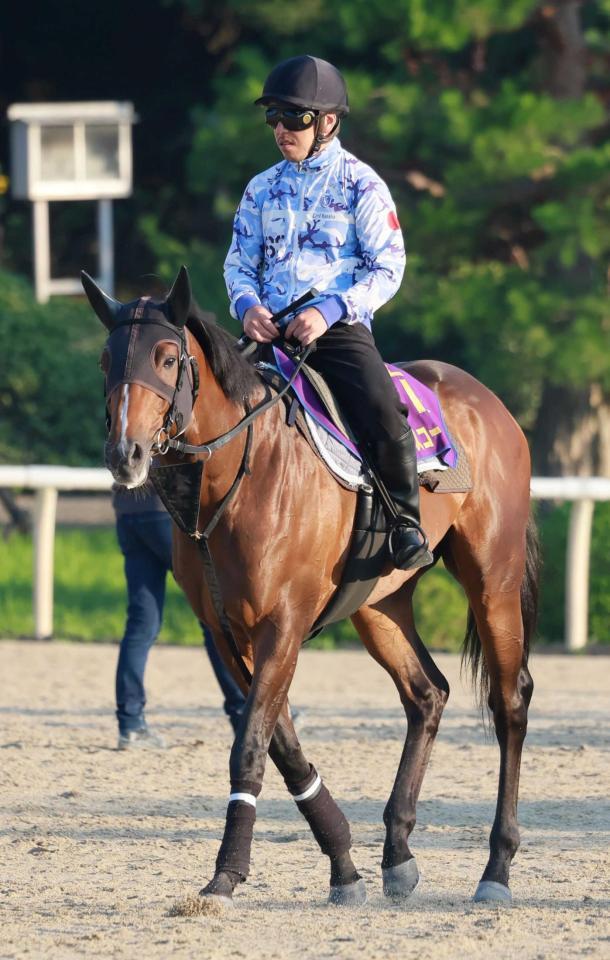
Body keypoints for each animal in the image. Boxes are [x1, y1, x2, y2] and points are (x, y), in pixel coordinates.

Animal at [83, 266, 538, 908]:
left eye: (167, 358)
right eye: (106, 359)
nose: (126, 454)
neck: (241, 478)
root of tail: (487, 402)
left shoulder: (283, 627)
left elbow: (251, 747)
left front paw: (227, 873)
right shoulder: (230, 635)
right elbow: (282, 747)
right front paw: (344, 864)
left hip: (492, 577)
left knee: (509, 702)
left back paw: (496, 867)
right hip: (380, 604)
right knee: (427, 693)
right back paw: (398, 854)